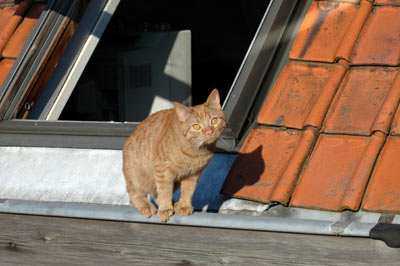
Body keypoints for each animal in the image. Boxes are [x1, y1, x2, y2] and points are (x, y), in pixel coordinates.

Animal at [122, 88, 225, 221]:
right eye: (196, 126)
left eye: (214, 120)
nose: (209, 131)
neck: (195, 151)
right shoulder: (162, 171)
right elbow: (164, 190)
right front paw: (165, 209)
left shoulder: (194, 174)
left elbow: (188, 191)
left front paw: (184, 206)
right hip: (137, 177)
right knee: (134, 194)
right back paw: (147, 206)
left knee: (155, 195)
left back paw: (174, 203)